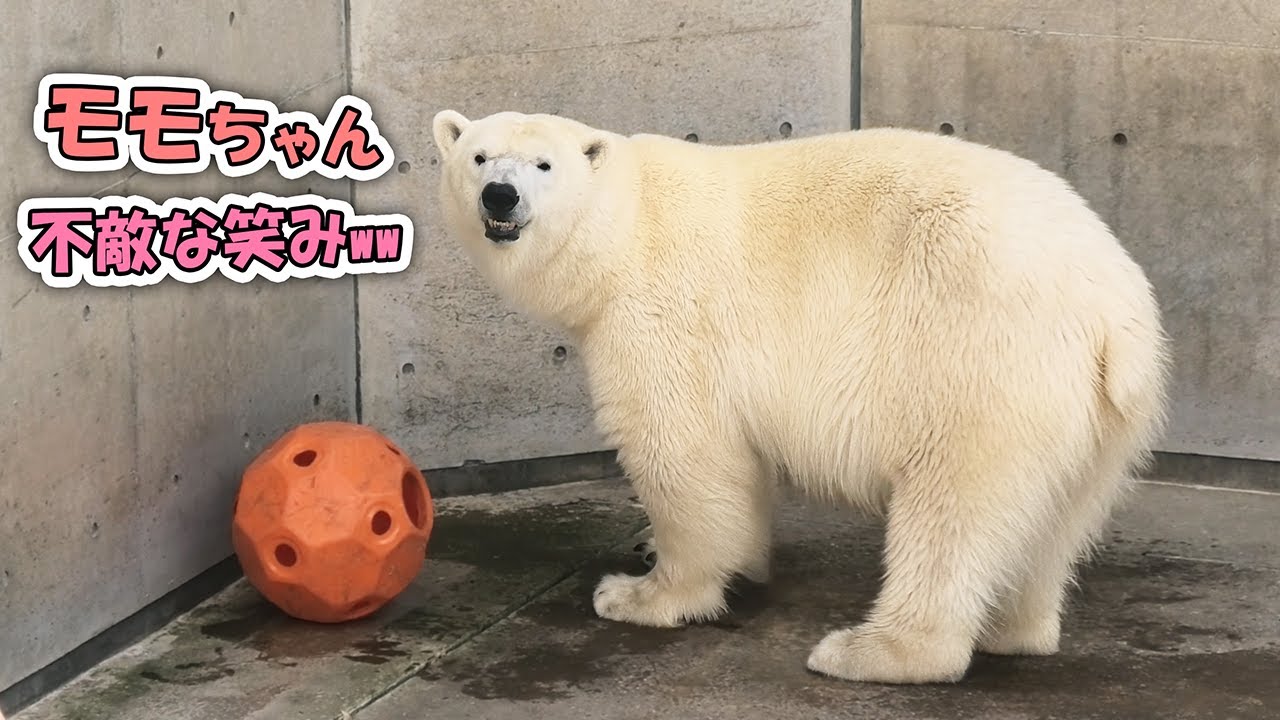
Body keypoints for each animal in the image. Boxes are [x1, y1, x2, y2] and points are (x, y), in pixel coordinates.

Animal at [430, 109, 1172, 685]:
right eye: (479, 156)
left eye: (544, 165)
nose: (499, 197)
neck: (624, 229)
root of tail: (1114, 306)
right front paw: (737, 562)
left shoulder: (659, 317)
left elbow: (681, 453)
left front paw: (642, 593)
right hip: (1100, 414)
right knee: (1056, 518)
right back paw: (1011, 627)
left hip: (977, 357)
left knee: (953, 506)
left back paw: (872, 651)